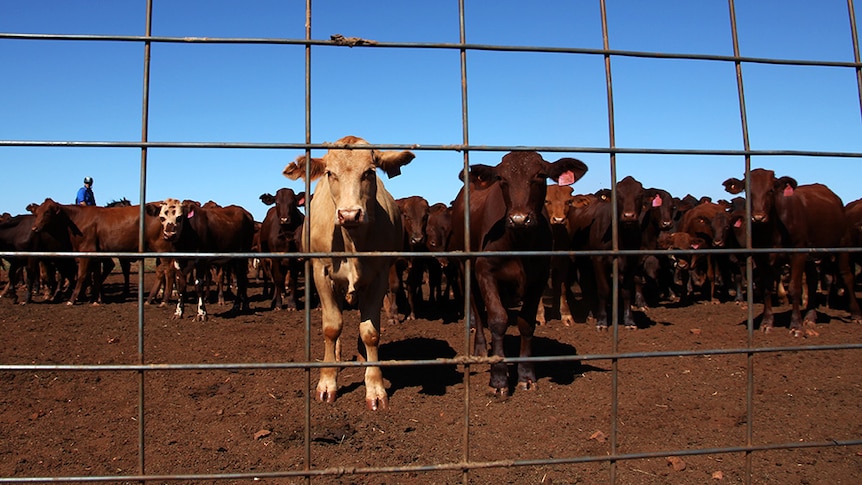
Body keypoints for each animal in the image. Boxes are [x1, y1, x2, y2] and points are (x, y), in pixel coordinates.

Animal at [282, 135, 416, 408]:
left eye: (369, 172)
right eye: (330, 173)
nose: (349, 214)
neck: (352, 241)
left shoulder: (379, 276)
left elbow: (370, 332)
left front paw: (374, 385)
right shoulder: (321, 273)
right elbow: (332, 327)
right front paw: (327, 381)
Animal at [724, 167, 860, 332]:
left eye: (771, 190)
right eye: (747, 191)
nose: (758, 217)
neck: (773, 231)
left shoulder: (796, 253)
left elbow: (795, 288)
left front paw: (796, 325)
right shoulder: (761, 258)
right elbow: (766, 288)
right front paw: (766, 322)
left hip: (842, 245)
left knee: (846, 276)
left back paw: (856, 314)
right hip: (810, 256)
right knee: (813, 280)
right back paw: (810, 316)